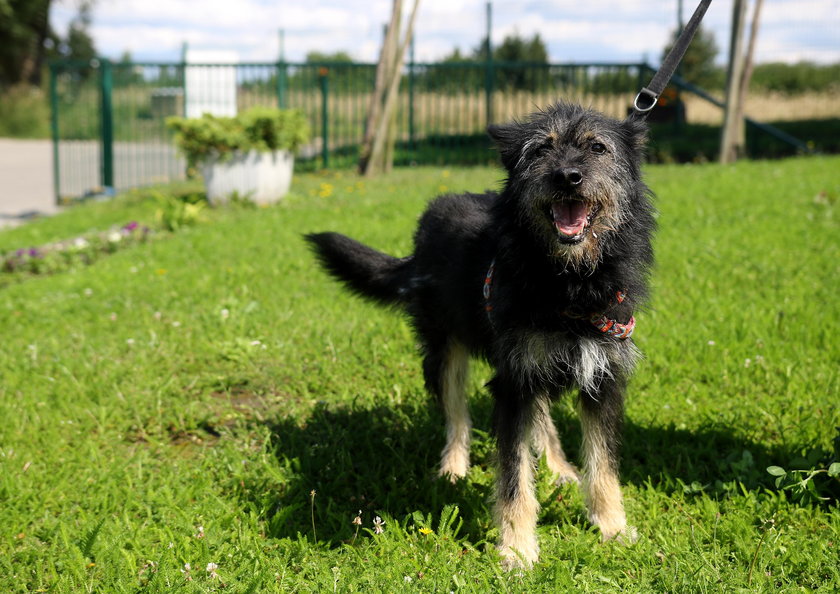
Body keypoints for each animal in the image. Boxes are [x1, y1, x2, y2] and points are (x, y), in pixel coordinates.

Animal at [306, 103, 656, 568]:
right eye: (540, 149)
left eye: (598, 148)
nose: (567, 176)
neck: (570, 282)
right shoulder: (513, 382)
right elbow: (513, 478)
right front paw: (518, 550)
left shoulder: (601, 376)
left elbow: (604, 465)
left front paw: (613, 528)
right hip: (446, 352)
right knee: (457, 416)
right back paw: (453, 471)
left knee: (540, 418)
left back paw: (561, 469)